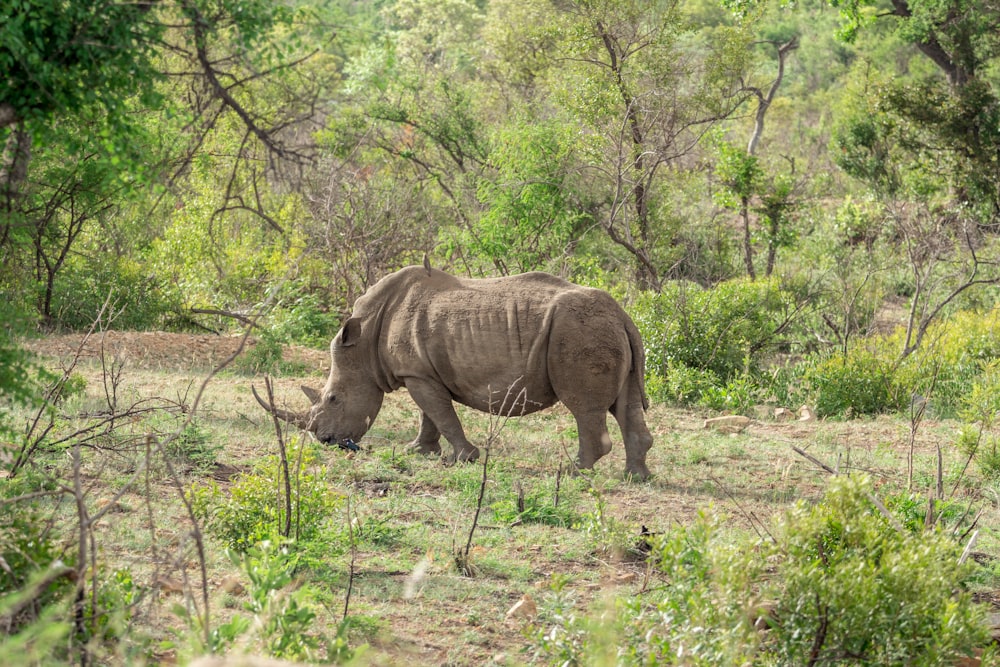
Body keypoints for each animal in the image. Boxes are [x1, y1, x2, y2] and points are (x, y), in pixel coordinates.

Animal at [254, 264, 652, 478]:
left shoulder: (417, 374)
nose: (326, 441)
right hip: (605, 329)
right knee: (626, 404)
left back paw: (572, 471)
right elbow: (429, 414)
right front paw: (418, 451)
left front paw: (464, 458)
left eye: (334, 399)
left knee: (583, 406)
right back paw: (635, 477)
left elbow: (440, 413)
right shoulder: (420, 371)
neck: (365, 342)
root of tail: (623, 314)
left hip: (579, 331)